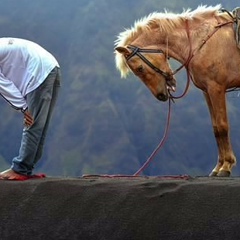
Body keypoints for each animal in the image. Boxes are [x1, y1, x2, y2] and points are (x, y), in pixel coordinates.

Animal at [115, 5, 240, 176]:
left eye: (140, 68)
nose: (161, 95)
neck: (200, 41)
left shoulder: (216, 88)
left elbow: (222, 126)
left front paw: (226, 166)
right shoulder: (207, 91)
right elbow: (215, 128)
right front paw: (218, 167)